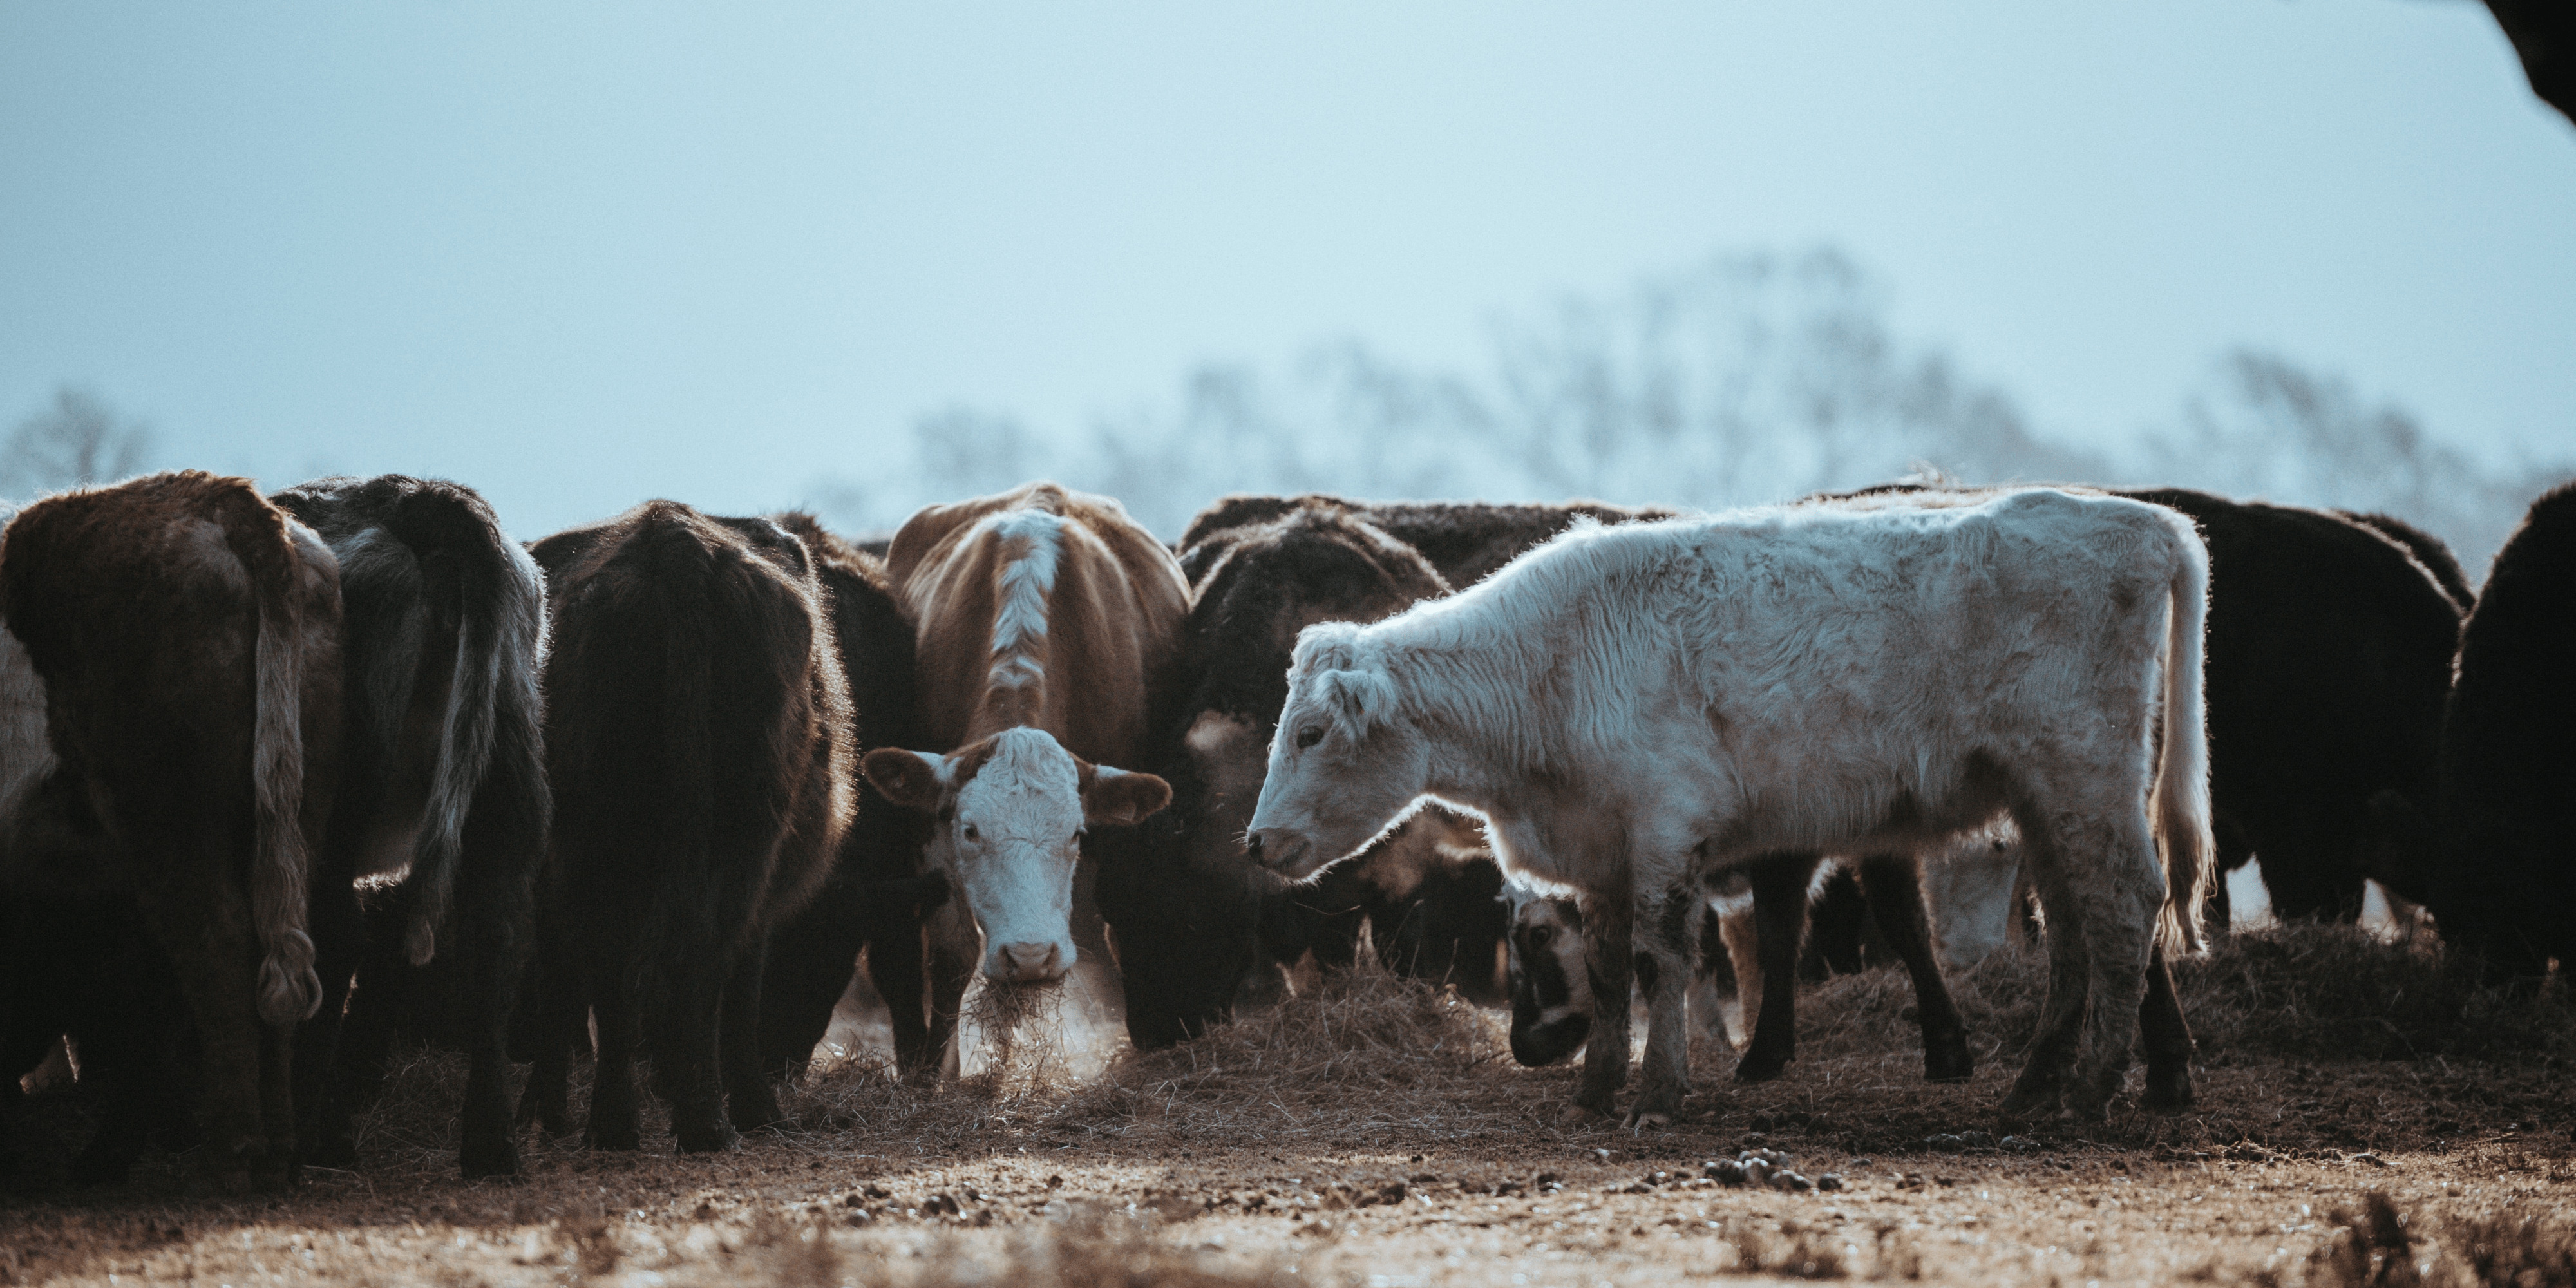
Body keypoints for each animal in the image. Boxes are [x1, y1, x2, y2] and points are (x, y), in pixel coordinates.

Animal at [0, 471, 342, 1186]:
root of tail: (217, 499)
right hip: (295, 811)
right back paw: (276, 1149)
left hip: (166, 817)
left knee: (215, 941)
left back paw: (229, 1151)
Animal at [265, 474, 549, 1180]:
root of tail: (418, 496)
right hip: (507, 758)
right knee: (499, 931)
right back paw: (490, 1143)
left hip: (341, 790)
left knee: (338, 937)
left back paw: (318, 1136)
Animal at [519, 501, 854, 1153]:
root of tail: (676, 545)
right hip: (740, 834)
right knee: (702, 960)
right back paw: (708, 1120)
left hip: (614, 840)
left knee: (628, 965)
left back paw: (624, 1123)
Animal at [858, 483, 1179, 1066]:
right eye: (970, 832)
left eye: (1076, 835)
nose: (1030, 956)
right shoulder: (930, 827)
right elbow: (952, 952)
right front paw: (942, 1072)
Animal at [1247, 489, 2212, 1125]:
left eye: (1310, 733)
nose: (1256, 842)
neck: (1554, 660)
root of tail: (2148, 522)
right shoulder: (1603, 849)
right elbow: (1610, 970)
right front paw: (1596, 1089)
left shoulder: (1667, 830)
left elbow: (1664, 959)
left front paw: (1660, 1094)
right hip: (2043, 799)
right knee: (2075, 923)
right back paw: (2035, 1085)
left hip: (2087, 777)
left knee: (2126, 907)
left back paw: (2091, 1090)